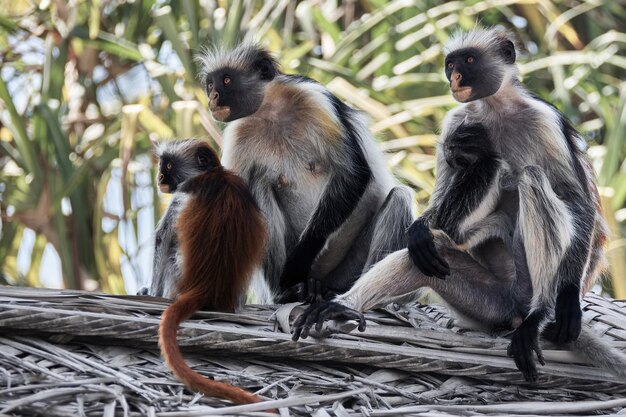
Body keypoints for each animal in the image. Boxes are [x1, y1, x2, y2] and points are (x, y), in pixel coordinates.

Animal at [153, 138, 268, 404]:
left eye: (169, 165)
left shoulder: (185, 191)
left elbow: (161, 240)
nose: (160, 176)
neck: (215, 174)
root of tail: (205, 288)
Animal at [197, 44, 414, 300]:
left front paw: (297, 264)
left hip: (347, 267)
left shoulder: (313, 98)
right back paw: (289, 293)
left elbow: (354, 173)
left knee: (399, 197)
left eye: (226, 80)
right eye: (210, 84)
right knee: (257, 185)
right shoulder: (238, 134)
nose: (212, 97)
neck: (270, 112)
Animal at [294, 27, 624, 382]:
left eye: (468, 60)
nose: (454, 77)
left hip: (528, 284)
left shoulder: (544, 119)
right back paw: (342, 306)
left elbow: (577, 200)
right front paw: (420, 229)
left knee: (532, 177)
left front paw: (566, 302)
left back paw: (540, 313)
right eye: (450, 64)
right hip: (491, 303)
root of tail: (517, 307)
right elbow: (440, 202)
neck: (495, 109)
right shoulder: (458, 121)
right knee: (427, 254)